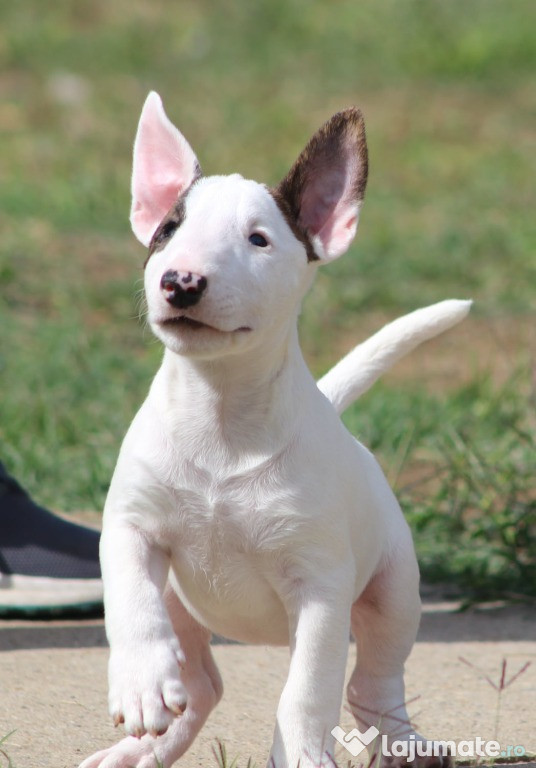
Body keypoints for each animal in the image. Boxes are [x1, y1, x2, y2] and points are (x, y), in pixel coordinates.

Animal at [79, 94, 468, 768]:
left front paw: (303, 755)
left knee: (372, 683)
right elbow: (131, 604)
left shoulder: (319, 589)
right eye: (167, 231)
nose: (180, 282)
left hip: (394, 589)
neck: (222, 413)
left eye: (258, 239)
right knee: (202, 685)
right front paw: (142, 686)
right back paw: (136, 751)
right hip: (183, 601)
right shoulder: (130, 527)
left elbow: (307, 691)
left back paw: (406, 743)